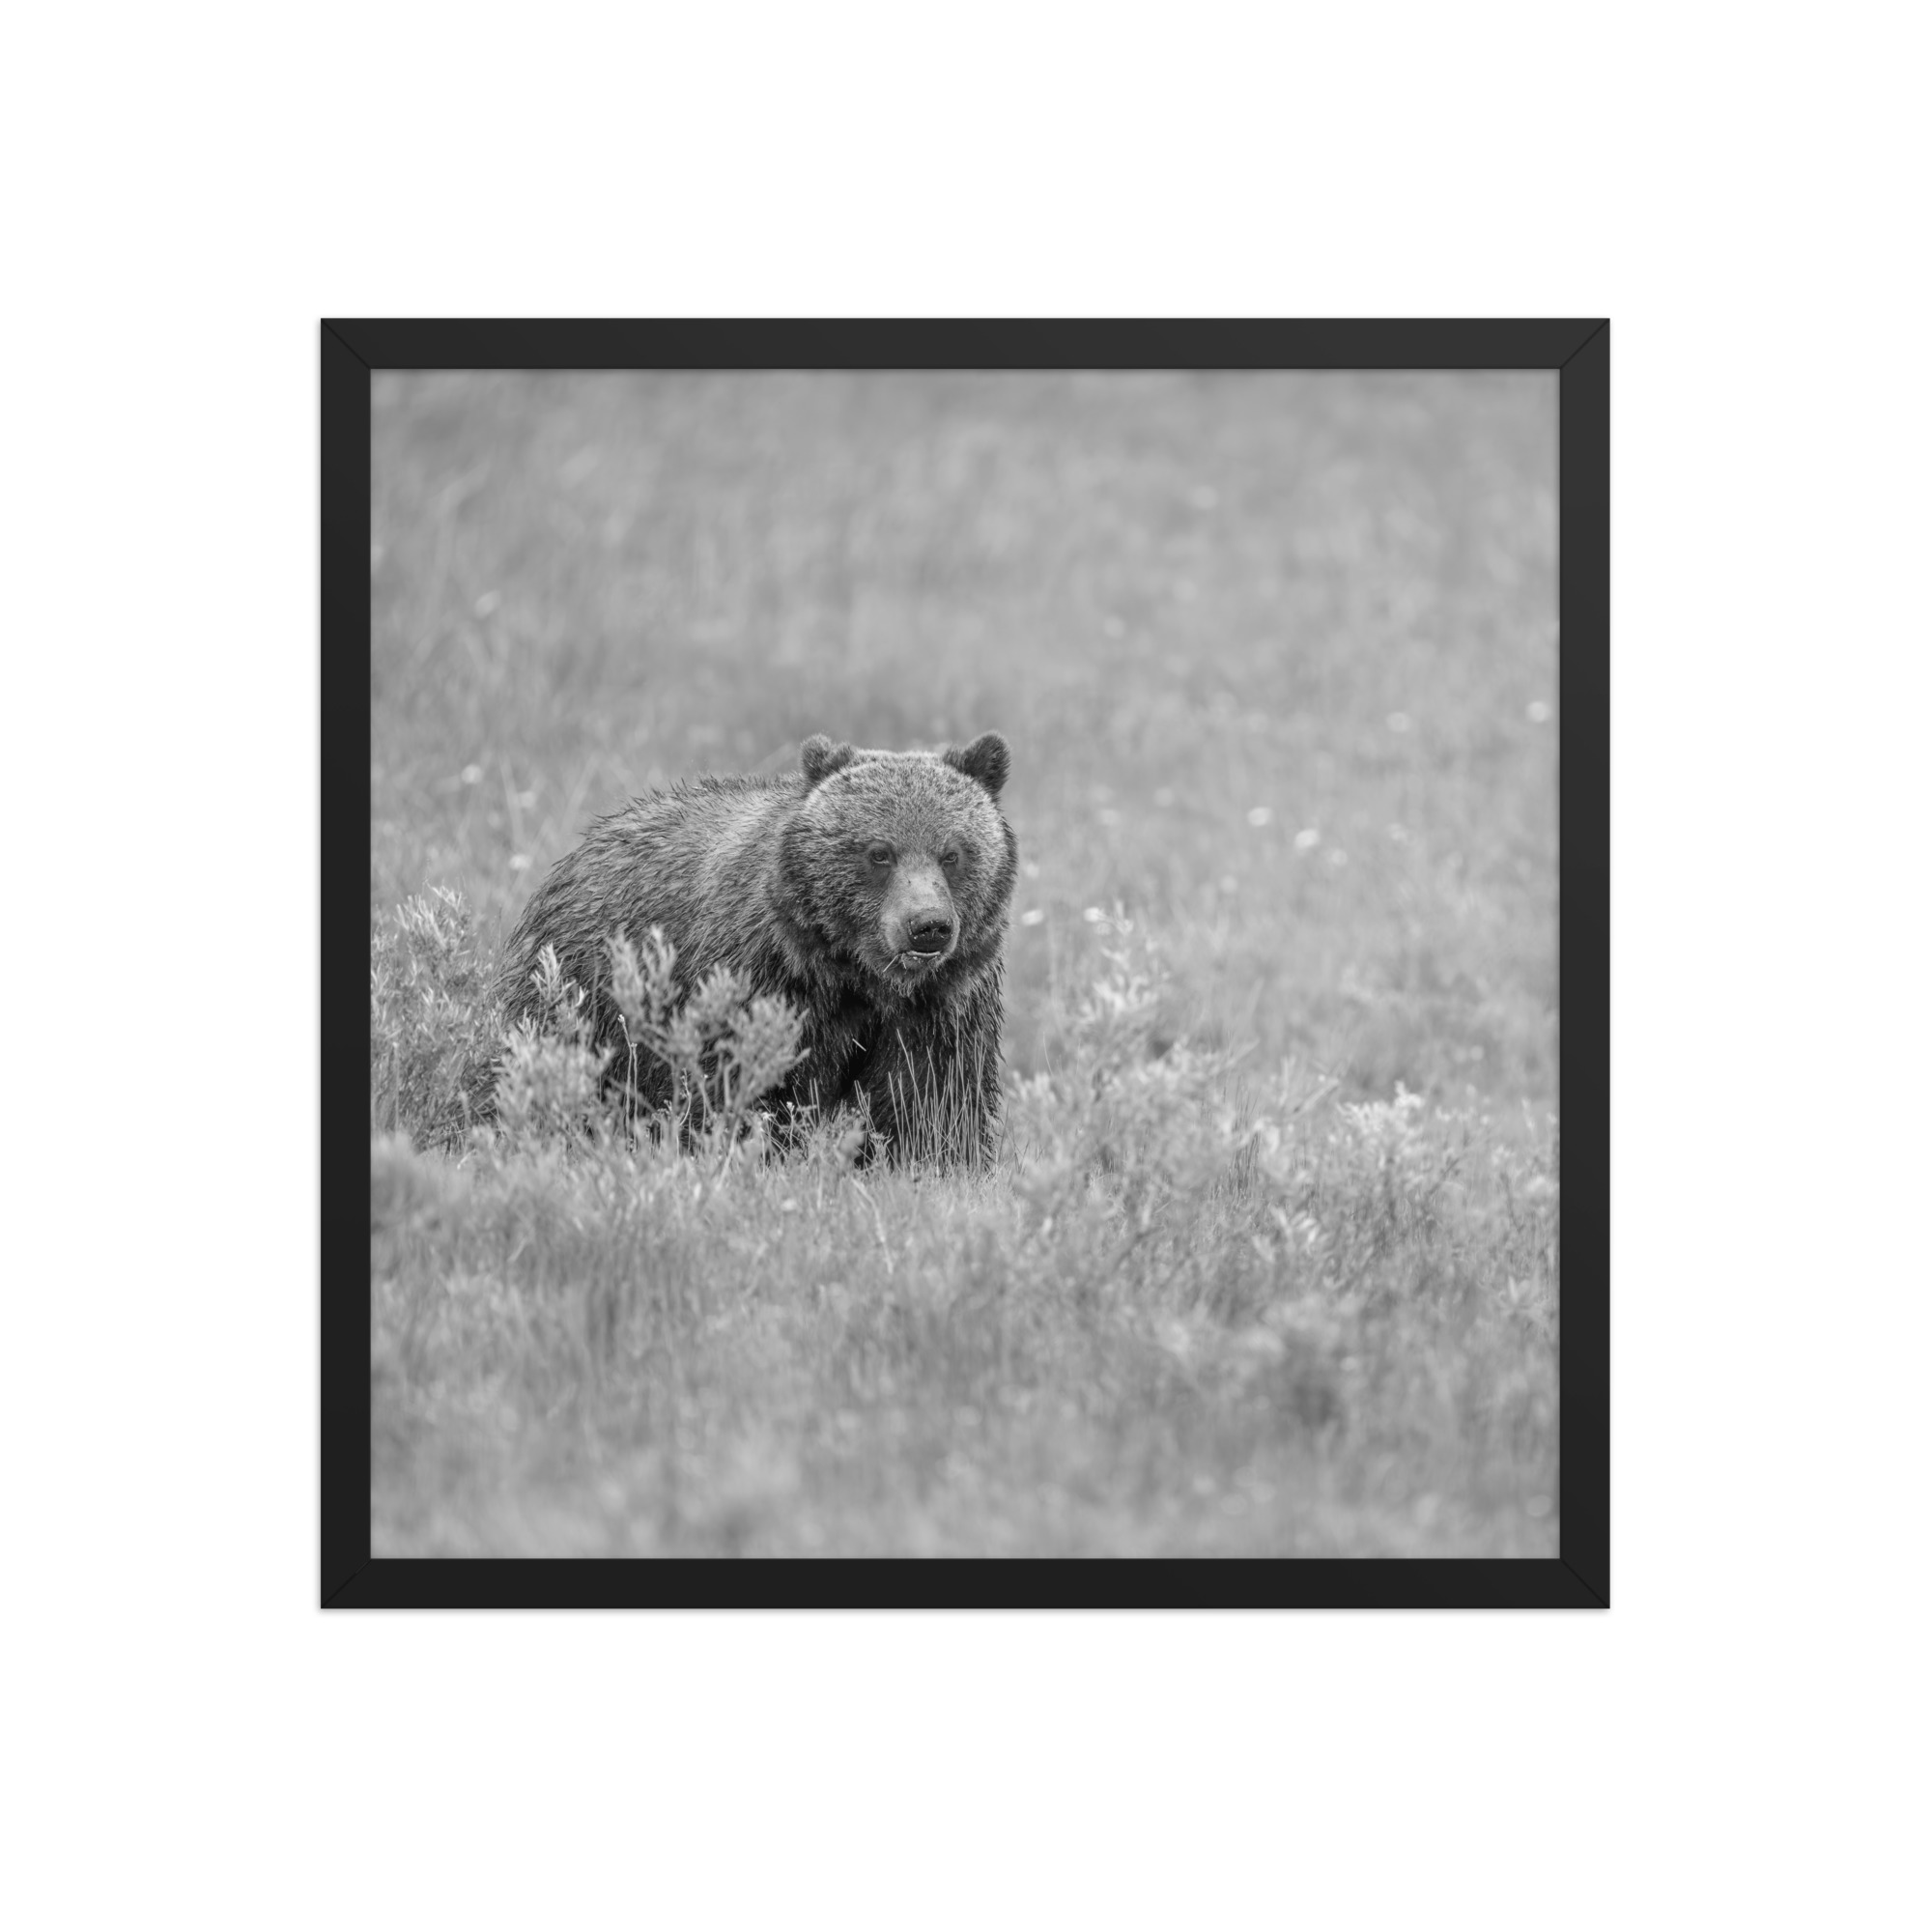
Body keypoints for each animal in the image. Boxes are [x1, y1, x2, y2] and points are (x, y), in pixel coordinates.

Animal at [492, 731, 1017, 1165]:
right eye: (879, 852)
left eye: (952, 853)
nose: (927, 926)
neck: (856, 976)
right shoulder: (761, 979)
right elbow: (743, 1085)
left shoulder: (942, 1005)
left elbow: (931, 1101)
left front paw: (933, 1164)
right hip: (582, 989)